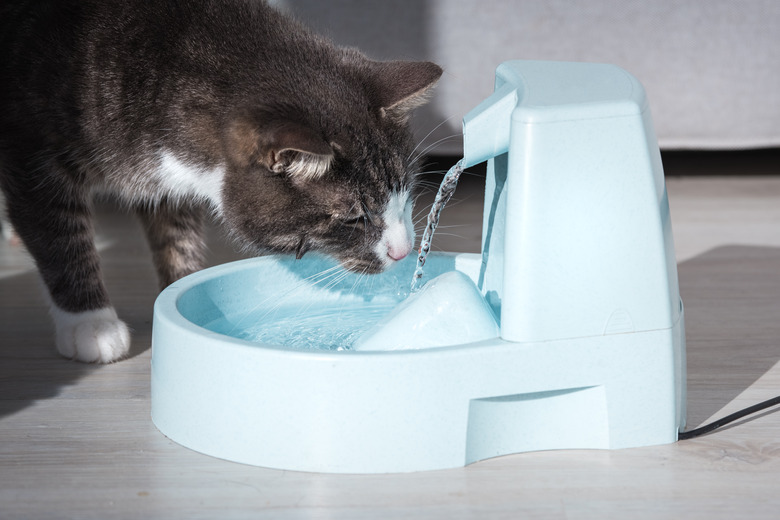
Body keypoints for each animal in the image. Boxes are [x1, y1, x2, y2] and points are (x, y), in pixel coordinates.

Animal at [0, 0, 438, 364]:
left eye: (405, 195)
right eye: (353, 218)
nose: (404, 251)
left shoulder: (170, 181)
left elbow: (177, 236)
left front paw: (180, 288)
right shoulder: (30, 149)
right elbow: (59, 233)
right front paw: (91, 324)